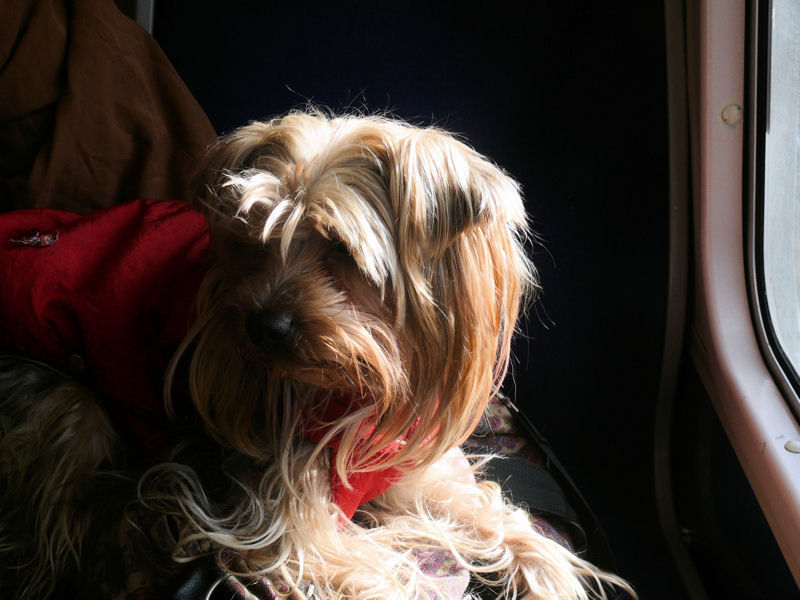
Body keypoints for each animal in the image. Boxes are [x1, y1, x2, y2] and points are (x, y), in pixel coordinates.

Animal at [0, 111, 632, 599]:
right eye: (250, 240)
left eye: (343, 252)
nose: (261, 327)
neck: (356, 383)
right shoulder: (280, 519)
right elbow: (356, 570)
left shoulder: (398, 463)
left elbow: (489, 514)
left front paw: (551, 572)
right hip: (69, 404)